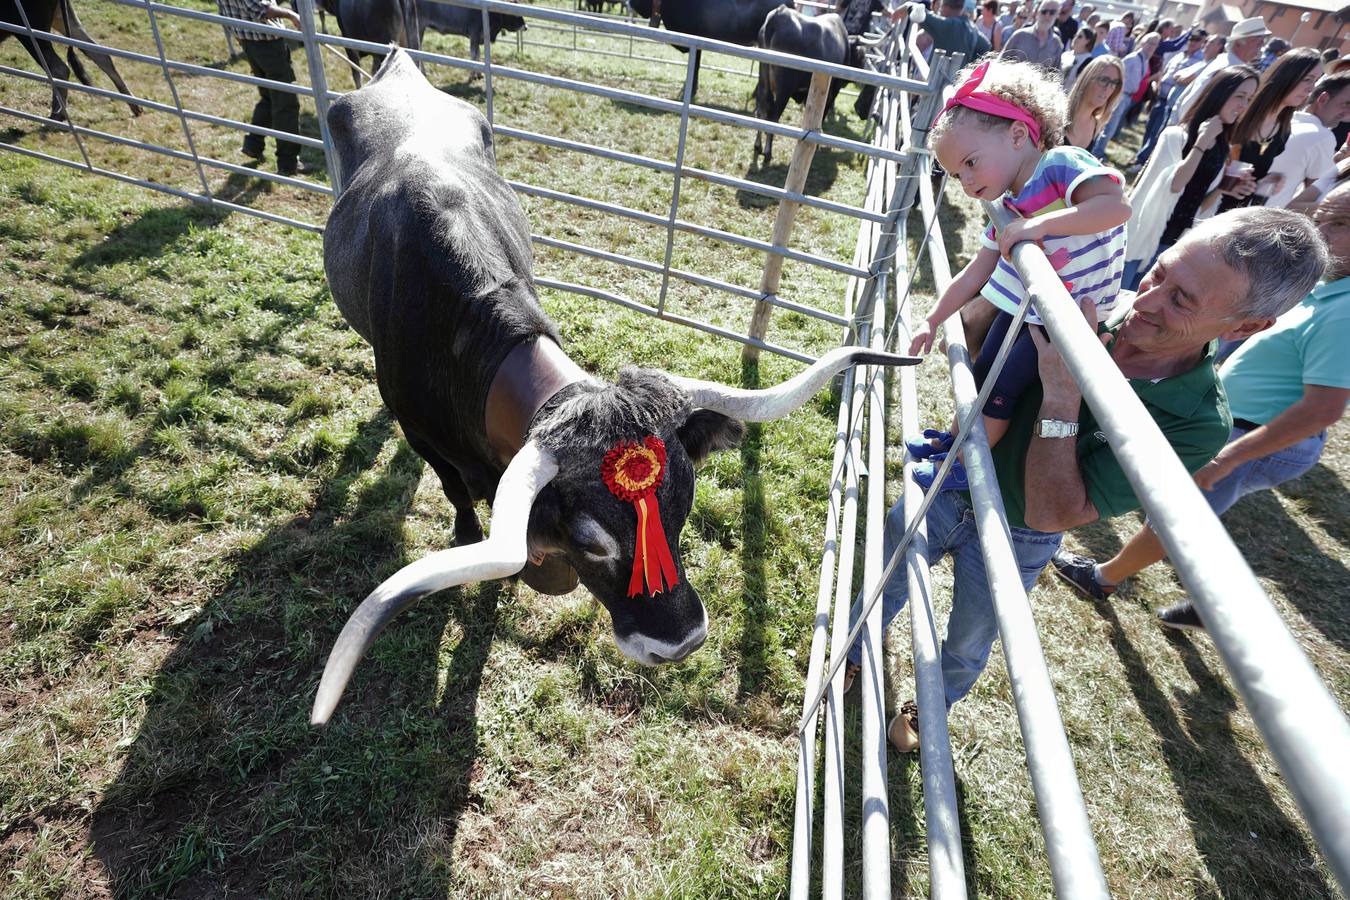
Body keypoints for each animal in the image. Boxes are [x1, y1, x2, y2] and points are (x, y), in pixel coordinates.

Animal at [2, 0, 142, 121]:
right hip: (62, 18)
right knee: (100, 54)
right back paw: (136, 107)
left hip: (31, 29)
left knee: (59, 68)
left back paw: (57, 115)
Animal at [310, 47, 912, 723]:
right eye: (590, 543)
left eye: (683, 506)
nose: (681, 643)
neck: (464, 326)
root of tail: (398, 67)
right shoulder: (418, 427)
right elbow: (454, 492)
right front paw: (467, 537)